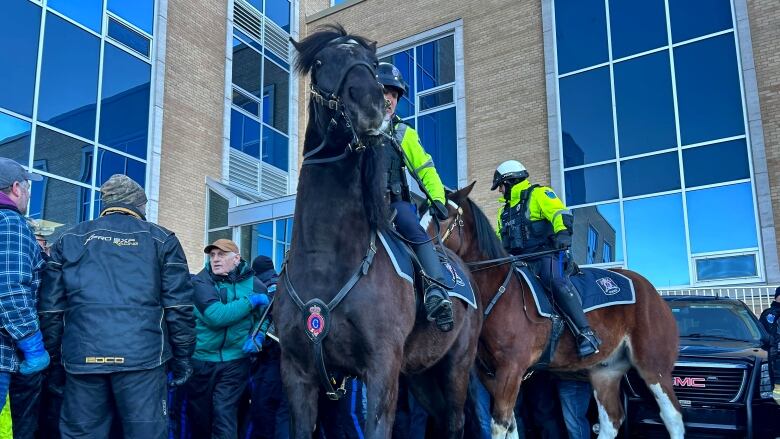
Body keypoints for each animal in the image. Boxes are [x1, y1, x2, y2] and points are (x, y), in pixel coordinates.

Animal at [274, 25, 482, 438]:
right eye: (320, 62)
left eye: (371, 63)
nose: (370, 105)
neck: (325, 261)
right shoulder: (296, 373)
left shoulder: (382, 367)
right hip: (420, 373)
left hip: (456, 364)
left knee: (455, 421)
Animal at [426, 184, 684, 439]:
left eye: (442, 216)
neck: (500, 291)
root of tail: (651, 291)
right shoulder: (490, 375)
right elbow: (512, 425)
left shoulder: (511, 371)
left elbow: (499, 425)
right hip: (606, 371)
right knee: (611, 420)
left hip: (653, 366)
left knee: (672, 417)